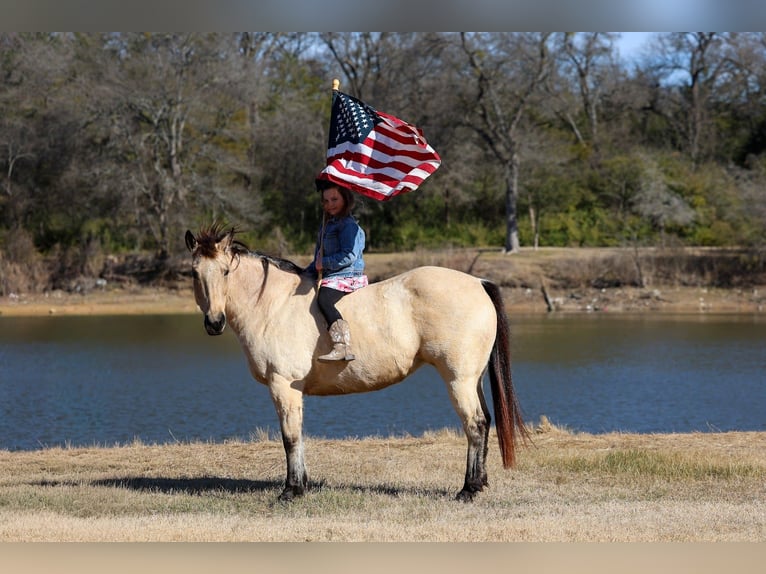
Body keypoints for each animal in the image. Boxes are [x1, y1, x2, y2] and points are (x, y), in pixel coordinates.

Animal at [185, 223, 528, 502]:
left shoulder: (283, 385)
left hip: (458, 379)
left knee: (475, 424)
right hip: (473, 378)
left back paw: (468, 490)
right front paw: (303, 485)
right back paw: (479, 483)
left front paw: (291, 490)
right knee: (485, 421)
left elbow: (290, 437)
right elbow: (298, 435)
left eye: (226, 271)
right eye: (195, 272)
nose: (214, 323)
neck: (274, 305)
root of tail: (478, 282)